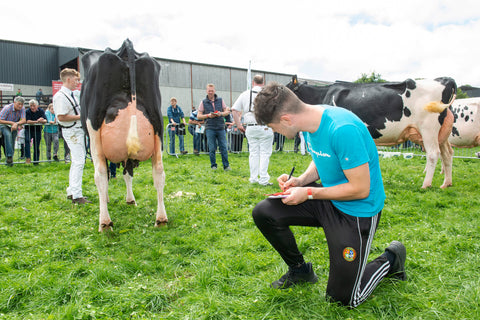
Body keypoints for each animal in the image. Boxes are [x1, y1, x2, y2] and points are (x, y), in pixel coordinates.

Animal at [80, 38, 167, 231]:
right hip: (158, 125)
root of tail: (125, 47)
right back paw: (161, 219)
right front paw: (130, 200)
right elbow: (128, 173)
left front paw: (109, 200)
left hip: (93, 128)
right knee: (158, 171)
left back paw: (104, 223)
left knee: (100, 173)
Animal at [284, 76, 458, 189]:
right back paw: (446, 183)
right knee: (447, 154)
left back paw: (426, 185)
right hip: (441, 133)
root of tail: (445, 79)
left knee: (433, 154)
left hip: (428, 128)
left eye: (285, 87)